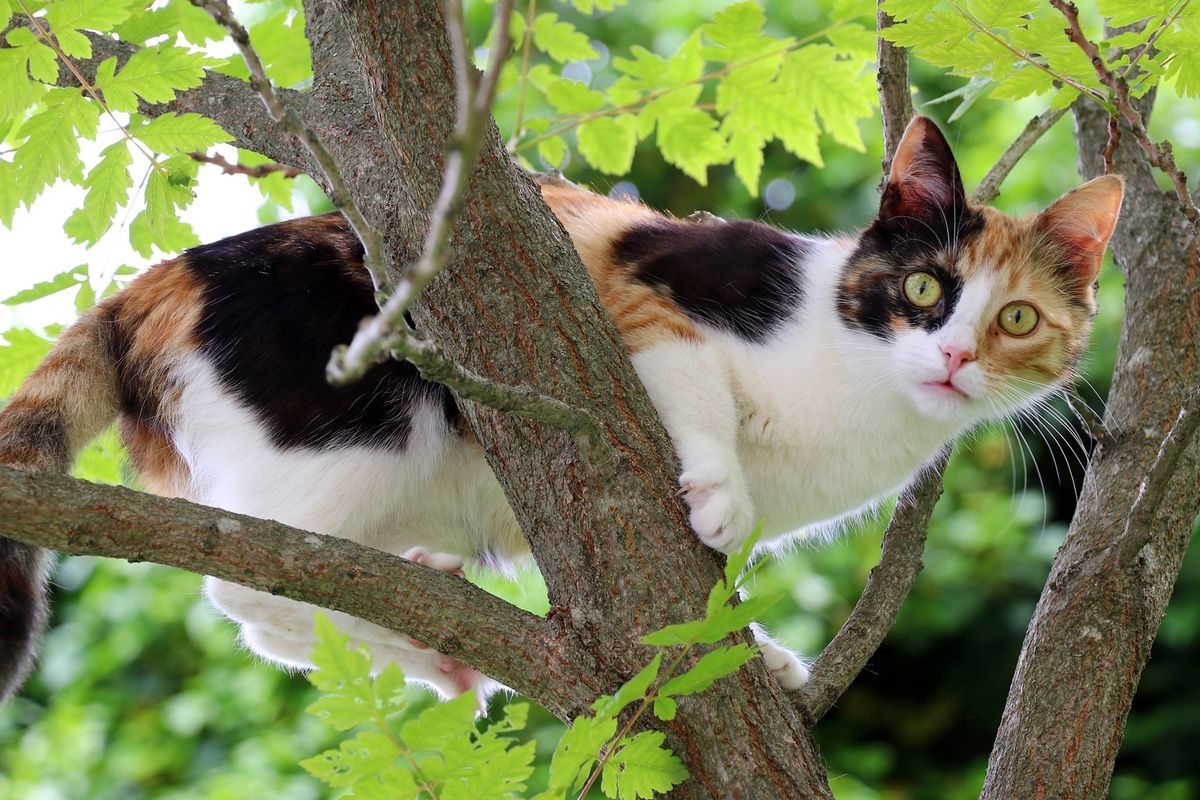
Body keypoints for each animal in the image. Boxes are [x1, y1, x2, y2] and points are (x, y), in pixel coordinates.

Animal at [0, 115, 1123, 705]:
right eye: (926, 287)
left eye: (1017, 318)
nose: (956, 356)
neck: (857, 388)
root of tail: (156, 283)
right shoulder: (645, 287)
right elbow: (695, 391)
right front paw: (720, 495)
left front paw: (752, 650)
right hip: (358, 429)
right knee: (250, 580)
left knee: (285, 601)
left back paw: (433, 635)